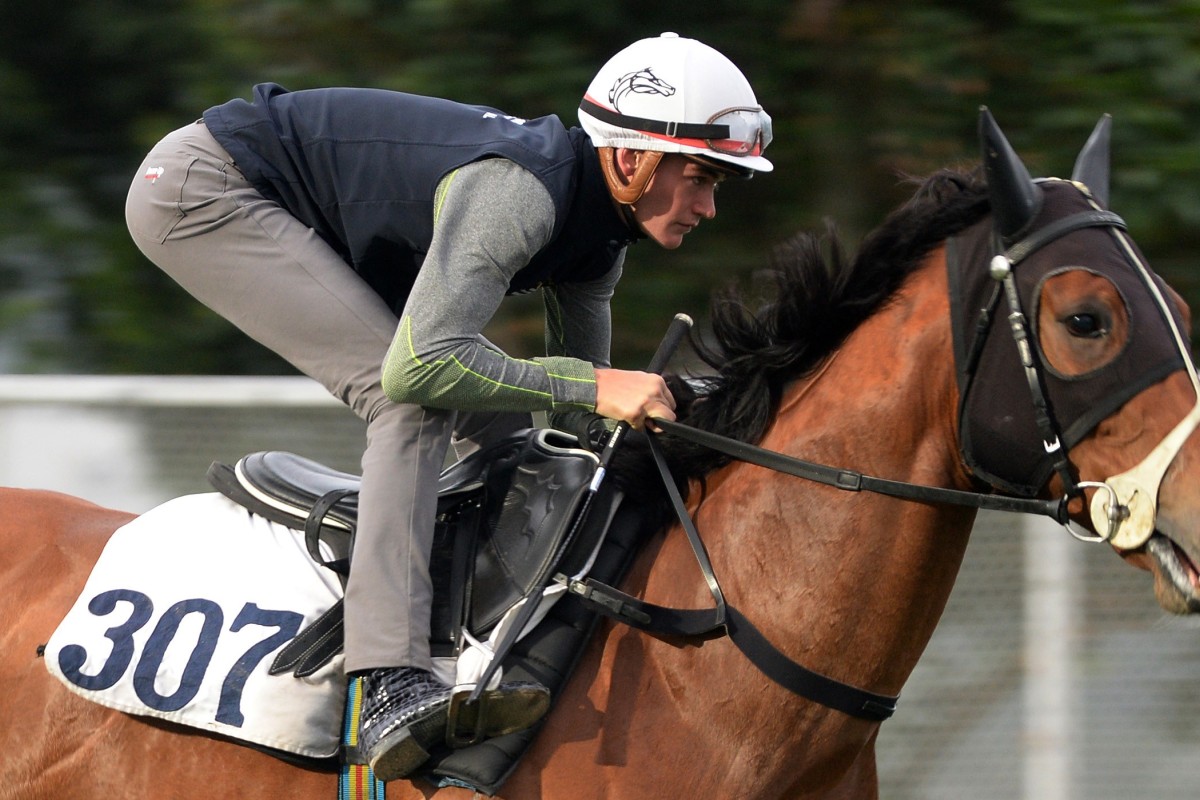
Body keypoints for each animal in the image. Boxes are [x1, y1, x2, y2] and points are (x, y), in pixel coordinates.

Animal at [2, 107, 1200, 800]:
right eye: (1087, 319)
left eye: (1179, 310)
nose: (1196, 501)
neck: (715, 664)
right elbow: (429, 355)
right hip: (197, 210)